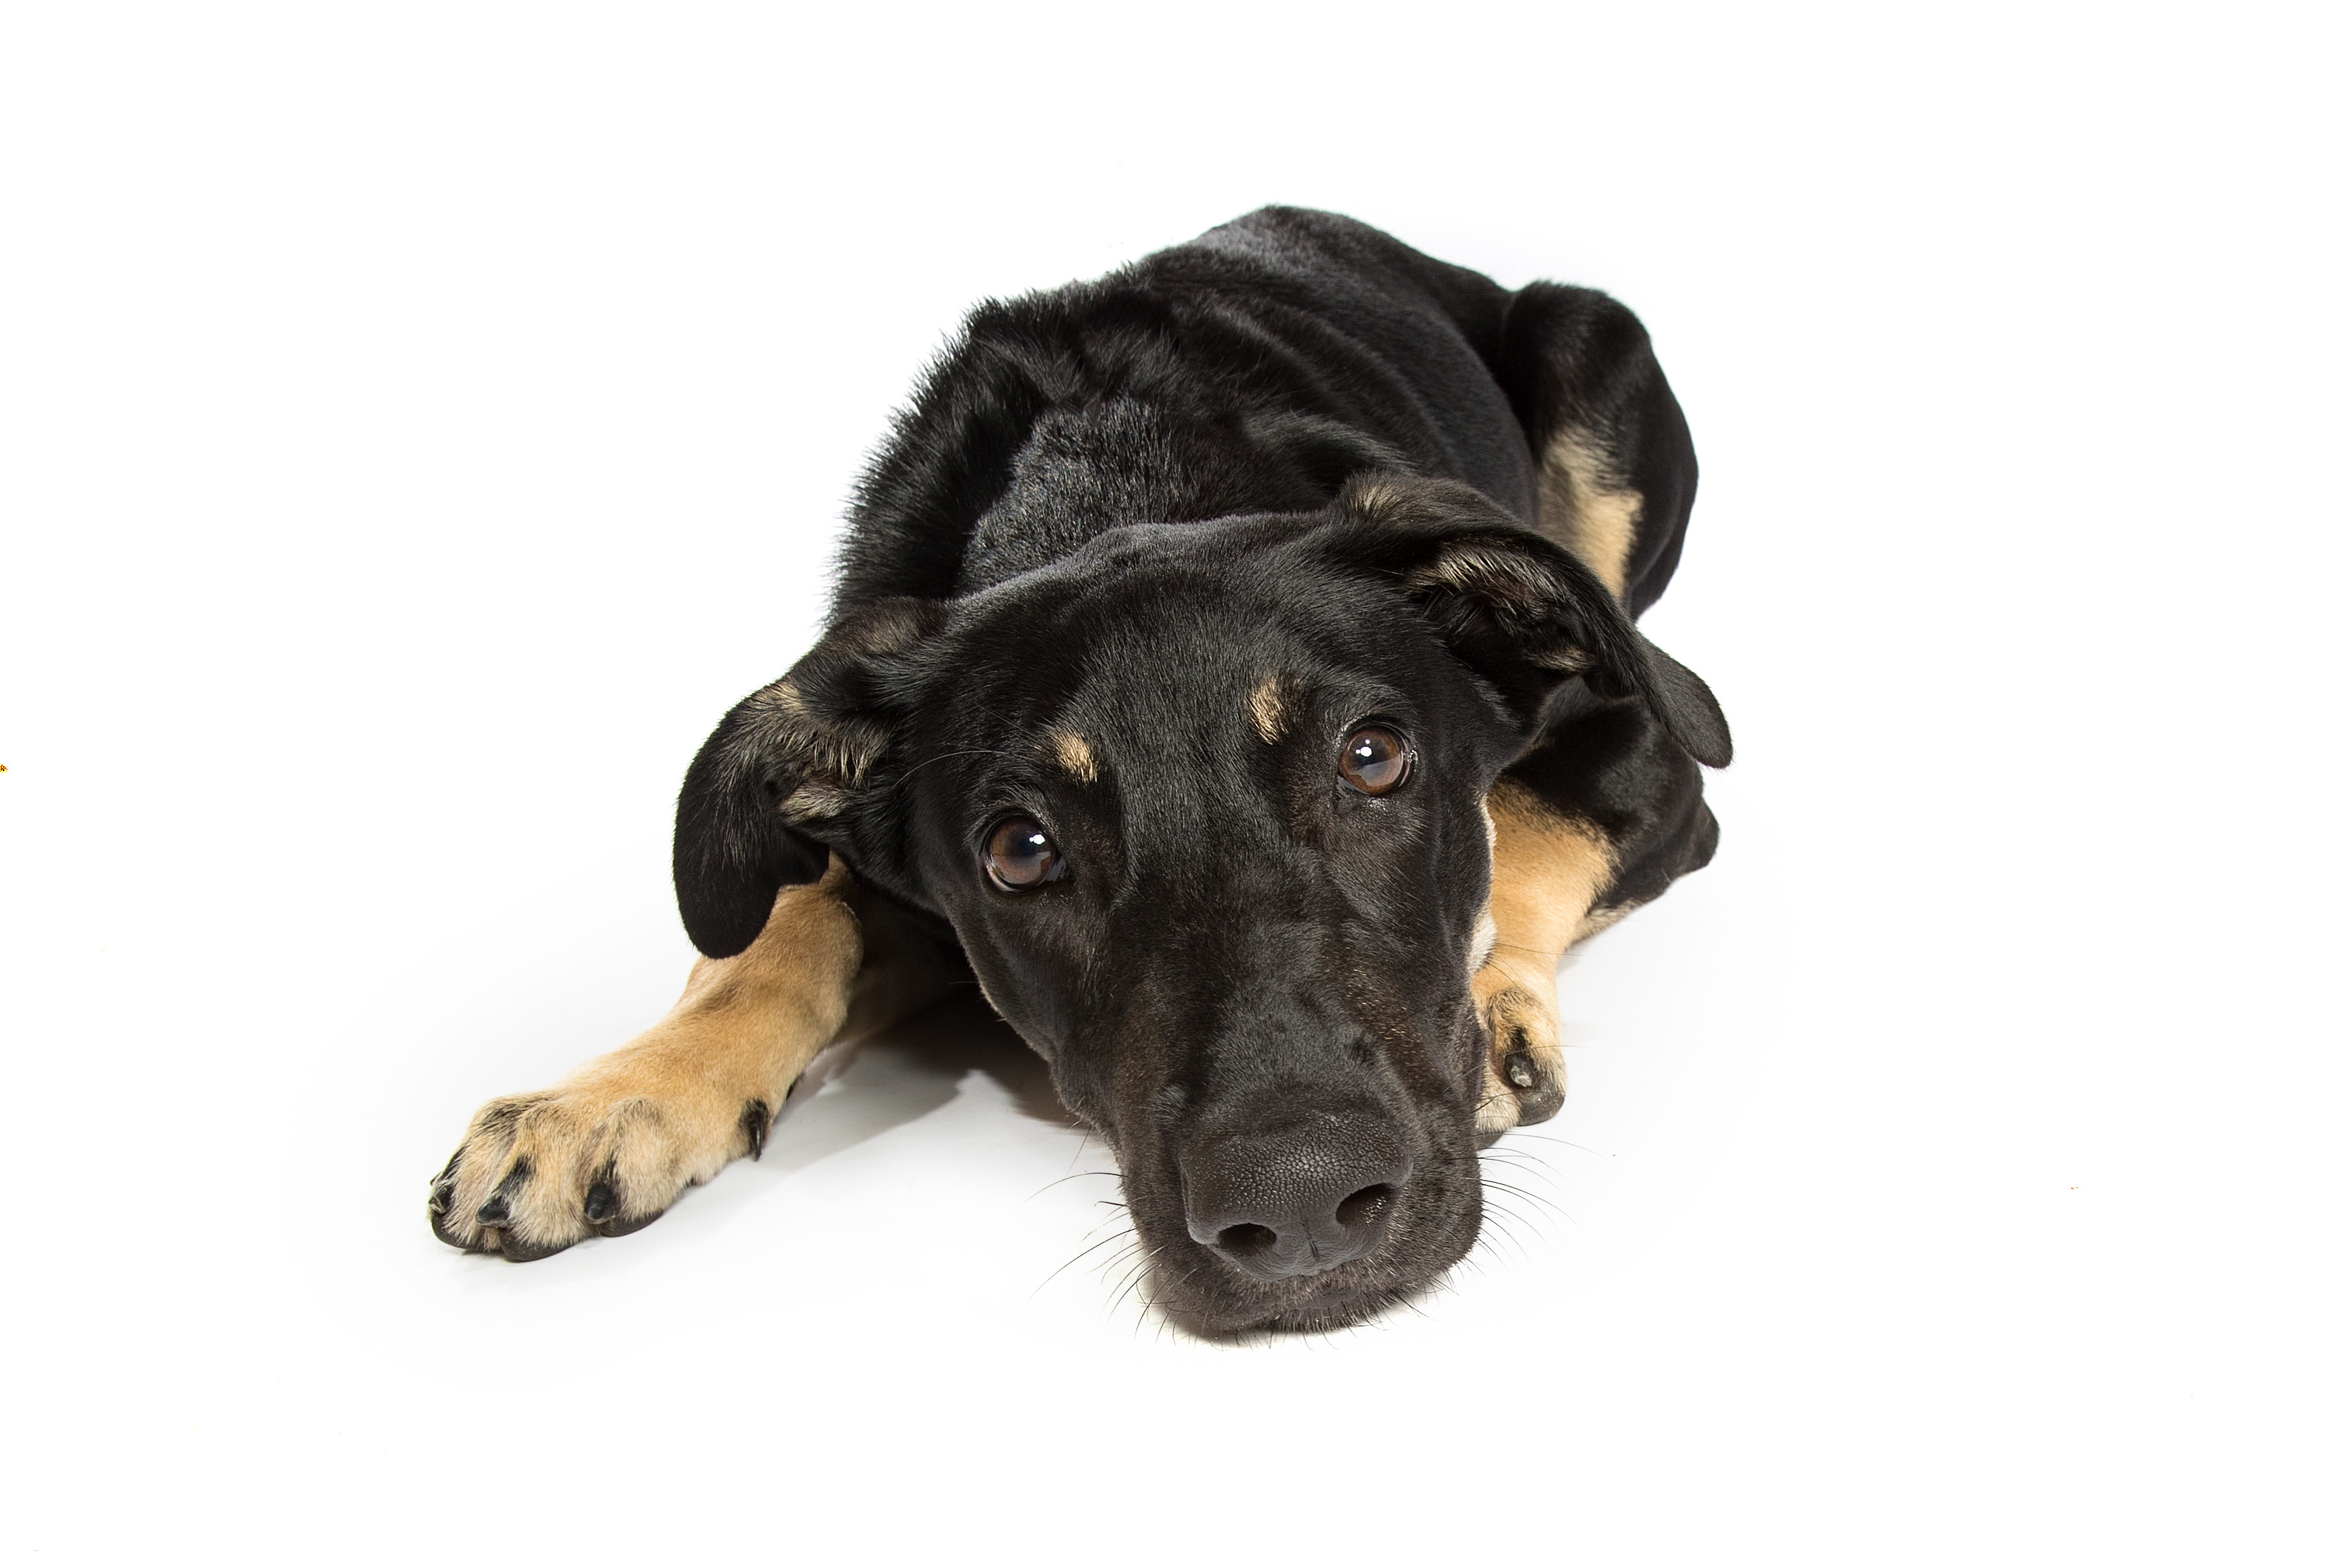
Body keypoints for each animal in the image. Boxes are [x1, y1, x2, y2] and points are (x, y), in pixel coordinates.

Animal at [428, 207, 1731, 1333]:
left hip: (1592, 348)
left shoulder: (1653, 749)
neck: (1105, 487)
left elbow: (1531, 817)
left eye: (1372, 757)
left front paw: (1496, 993)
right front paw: (611, 1095)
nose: (1306, 1210)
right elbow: (777, 926)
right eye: (1020, 851)